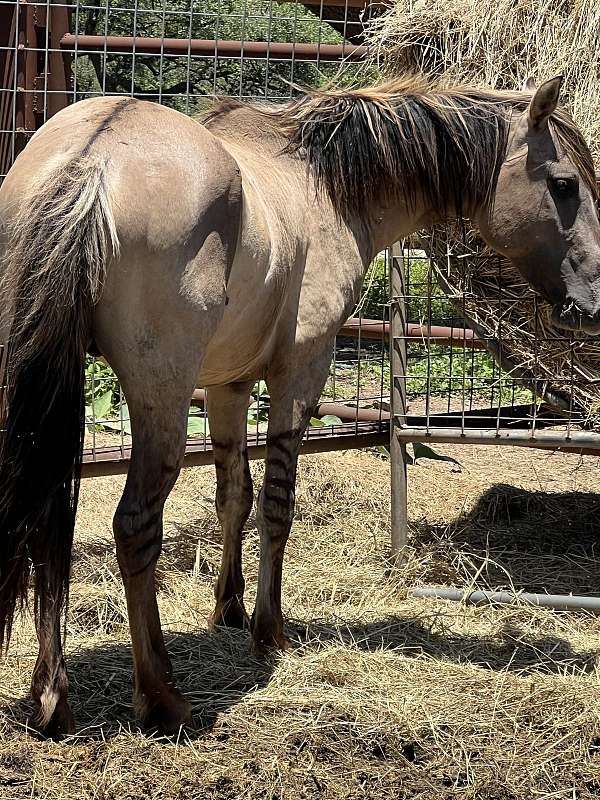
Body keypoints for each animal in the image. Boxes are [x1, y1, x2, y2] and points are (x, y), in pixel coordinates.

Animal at [0, 73, 598, 737]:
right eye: (564, 184)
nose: (592, 301)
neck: (324, 187)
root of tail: (91, 160)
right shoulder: (300, 376)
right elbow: (276, 507)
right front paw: (269, 631)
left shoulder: (230, 386)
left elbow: (234, 497)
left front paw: (229, 610)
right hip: (161, 402)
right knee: (134, 526)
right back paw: (161, 695)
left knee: (44, 514)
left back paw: (52, 697)